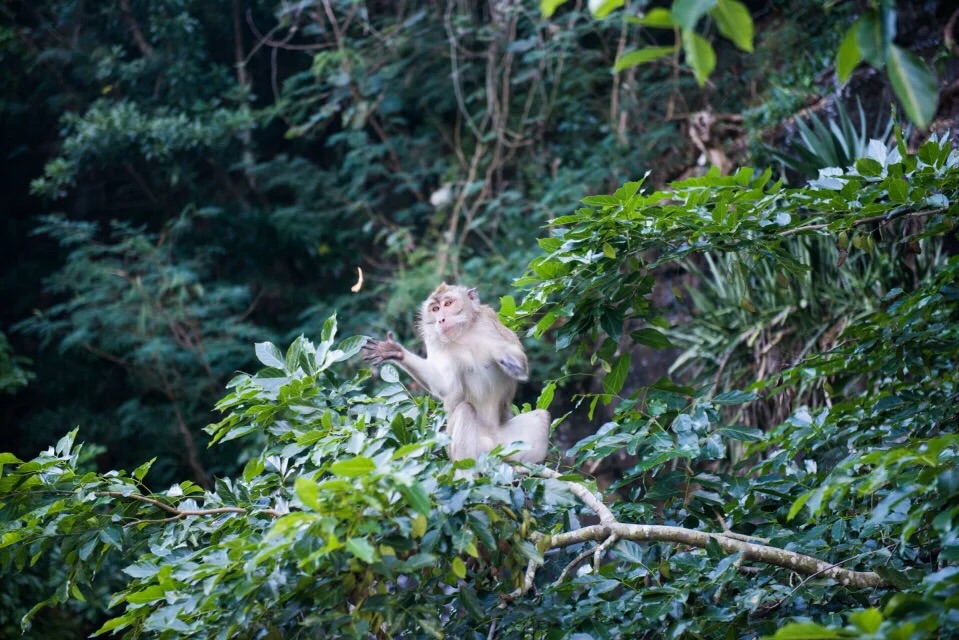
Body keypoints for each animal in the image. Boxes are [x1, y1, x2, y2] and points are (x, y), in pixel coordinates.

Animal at [364, 284, 552, 464]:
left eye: (447, 304)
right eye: (435, 309)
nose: (441, 319)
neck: (464, 334)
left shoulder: (489, 320)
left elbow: (519, 367)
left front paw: (504, 355)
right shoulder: (434, 342)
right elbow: (446, 387)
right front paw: (395, 351)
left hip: (509, 445)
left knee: (542, 417)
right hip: (459, 447)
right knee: (465, 410)